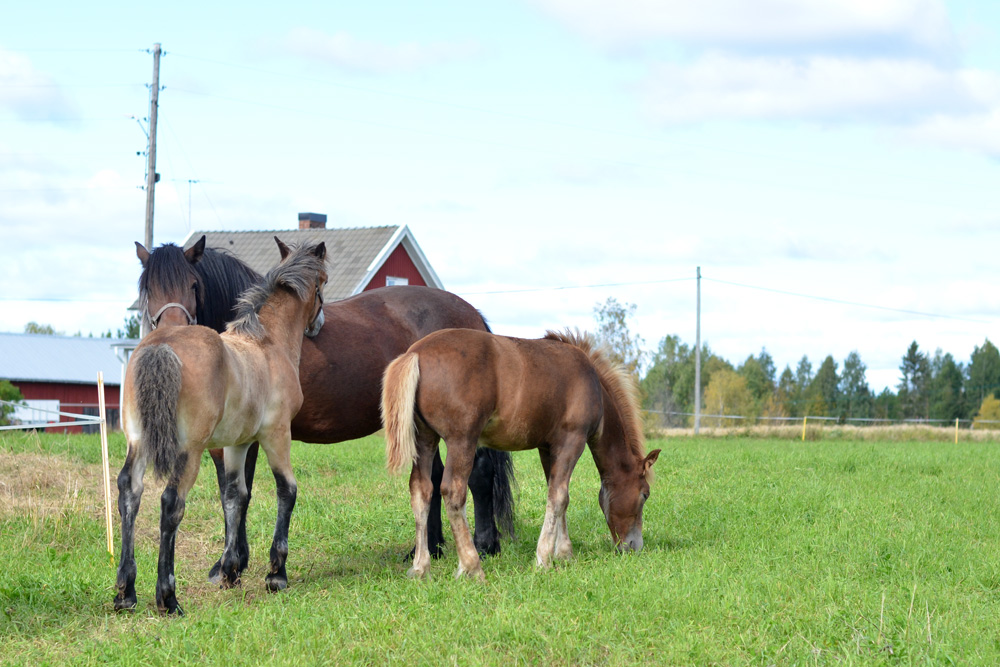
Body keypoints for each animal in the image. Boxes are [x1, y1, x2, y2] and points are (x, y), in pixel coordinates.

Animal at [135, 237, 516, 580]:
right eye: (146, 289)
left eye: (193, 284)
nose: (172, 333)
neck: (251, 341)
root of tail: (471, 315)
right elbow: (233, 492)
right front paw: (233, 562)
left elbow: (240, 492)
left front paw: (235, 563)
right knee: (433, 477)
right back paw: (430, 549)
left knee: (479, 472)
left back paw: (484, 545)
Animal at [380, 328, 656, 580]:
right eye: (645, 494)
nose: (634, 546)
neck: (592, 382)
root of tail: (416, 353)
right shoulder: (572, 441)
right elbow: (559, 497)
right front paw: (544, 559)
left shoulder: (548, 447)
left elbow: (557, 495)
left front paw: (563, 553)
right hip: (462, 440)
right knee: (453, 493)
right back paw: (471, 566)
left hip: (425, 440)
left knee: (421, 491)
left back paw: (420, 567)